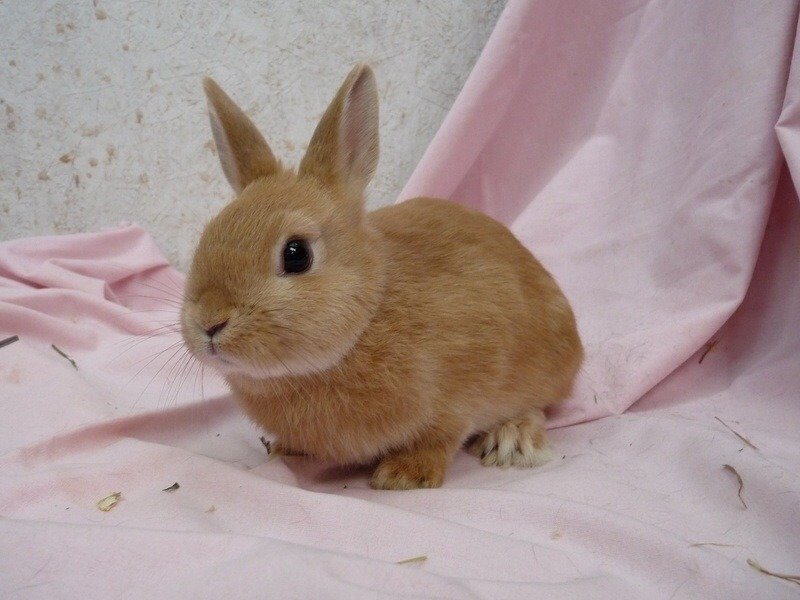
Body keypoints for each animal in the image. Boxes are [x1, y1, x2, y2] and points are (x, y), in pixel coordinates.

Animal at [181, 63, 583, 490]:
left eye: (297, 254)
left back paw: (512, 439)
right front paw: (284, 450)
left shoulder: (462, 393)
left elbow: (442, 435)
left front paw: (404, 475)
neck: (369, 316)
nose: (209, 322)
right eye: (205, 238)